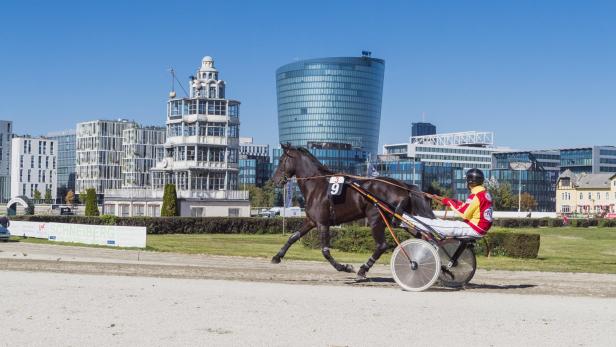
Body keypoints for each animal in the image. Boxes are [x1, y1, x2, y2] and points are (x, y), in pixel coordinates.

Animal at [272, 145, 436, 282]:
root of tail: (403, 186)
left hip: (376, 219)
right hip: (404, 222)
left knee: (382, 245)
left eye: (281, 160)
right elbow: (293, 237)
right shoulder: (311, 221)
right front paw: (277, 257)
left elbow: (325, 251)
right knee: (425, 236)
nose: (275, 180)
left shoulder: (322, 223)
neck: (316, 186)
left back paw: (363, 270)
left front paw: (345, 267)